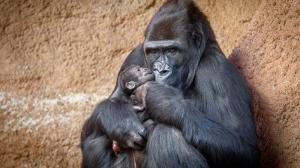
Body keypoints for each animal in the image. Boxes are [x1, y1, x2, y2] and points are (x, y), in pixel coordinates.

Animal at [80, 0, 260, 167]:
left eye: (172, 51)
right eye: (153, 52)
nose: (160, 70)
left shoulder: (217, 68)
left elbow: (243, 147)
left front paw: (164, 102)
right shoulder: (135, 55)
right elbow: (91, 128)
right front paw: (119, 118)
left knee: (168, 136)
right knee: (95, 141)